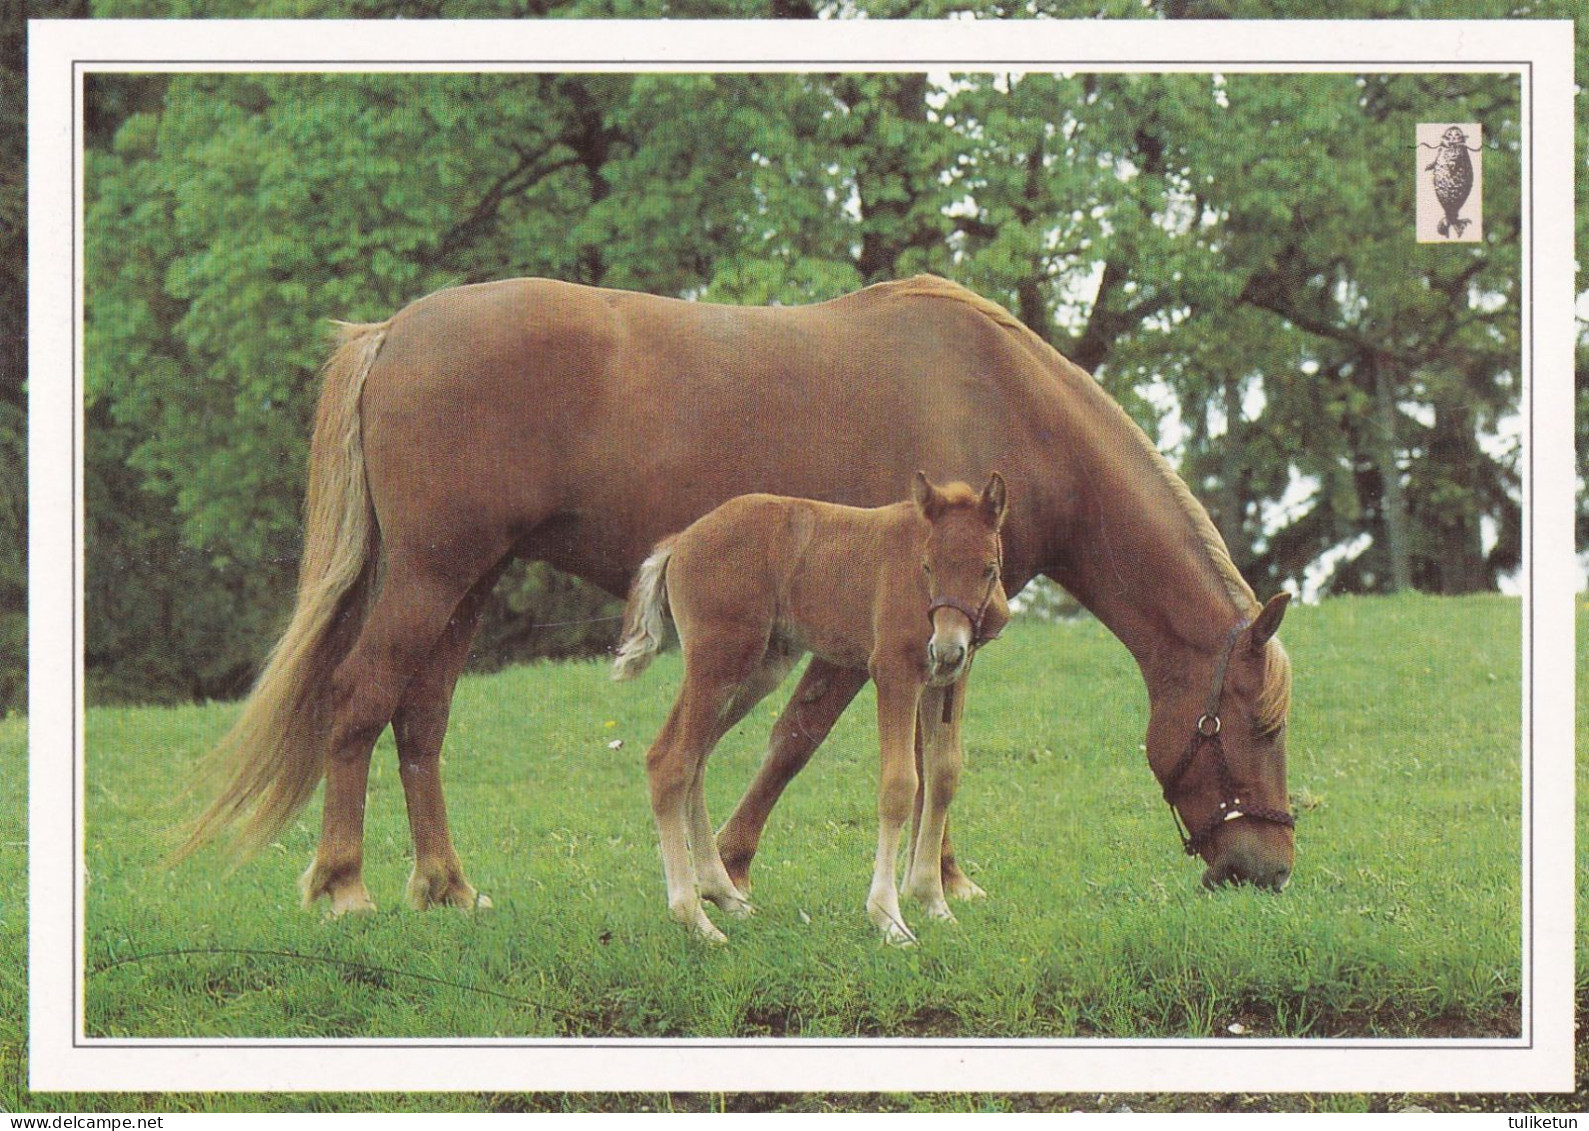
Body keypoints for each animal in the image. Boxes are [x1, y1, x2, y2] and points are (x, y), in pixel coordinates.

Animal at [606, 473, 1004, 940]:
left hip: (759, 669)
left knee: (696, 760)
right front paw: (889, 918)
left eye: (989, 569)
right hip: (720, 660)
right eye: (927, 566)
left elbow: (943, 775)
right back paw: (696, 919)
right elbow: (900, 785)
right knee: (669, 760)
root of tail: (681, 539)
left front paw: (934, 902)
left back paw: (724, 895)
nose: (945, 649)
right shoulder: (894, 671)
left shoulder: (949, 679)